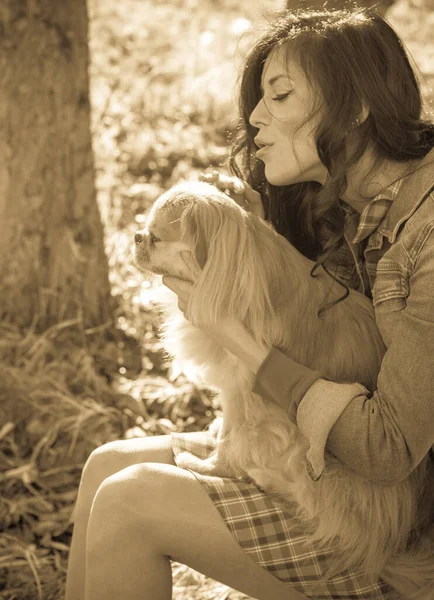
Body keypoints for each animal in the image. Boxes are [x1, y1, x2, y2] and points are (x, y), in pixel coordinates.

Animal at [134, 180, 432, 596]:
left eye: (156, 237)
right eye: (143, 229)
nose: (135, 237)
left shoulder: (247, 395)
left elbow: (233, 443)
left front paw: (208, 465)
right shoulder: (233, 392)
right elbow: (227, 428)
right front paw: (214, 436)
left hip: (311, 458)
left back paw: (263, 476)